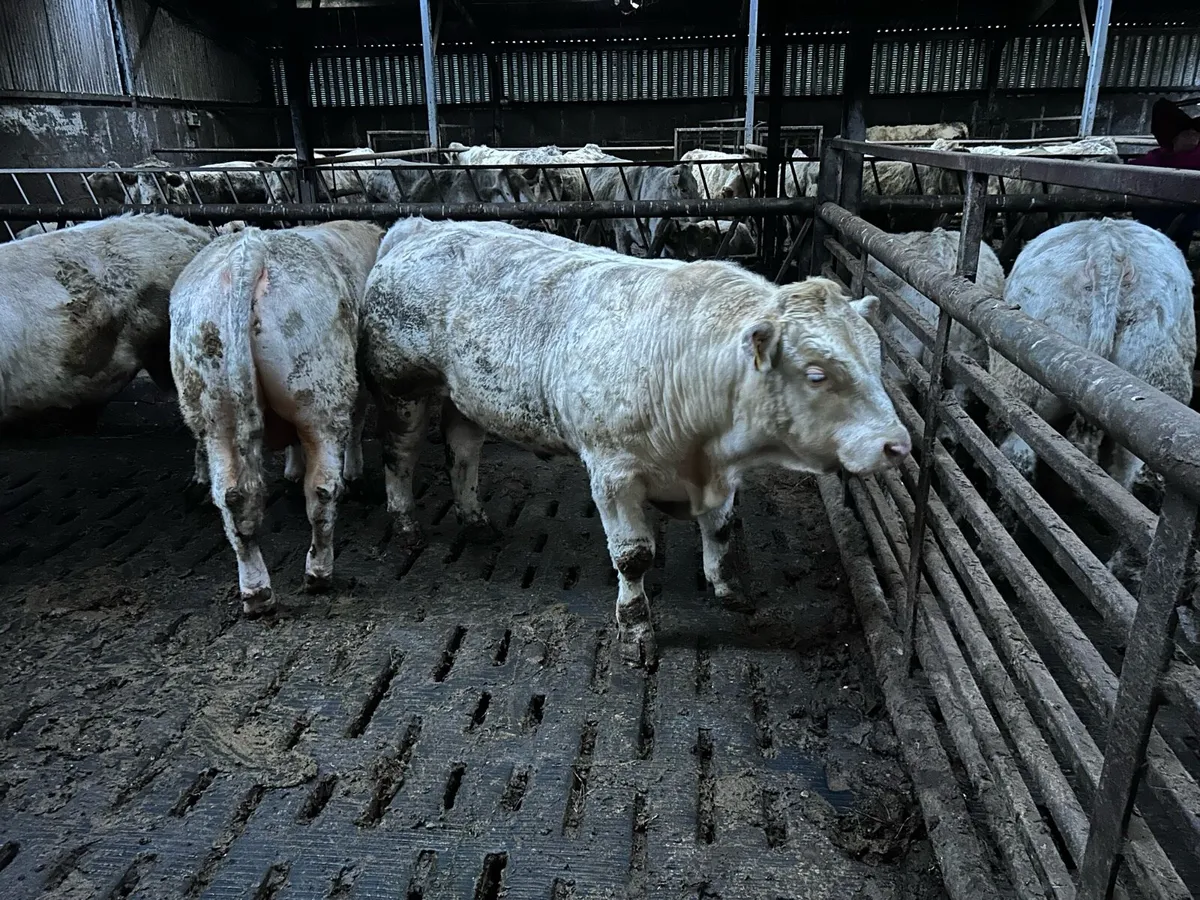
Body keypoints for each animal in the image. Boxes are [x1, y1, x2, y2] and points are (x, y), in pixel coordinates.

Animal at [170, 221, 383, 615]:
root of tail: (250, 252)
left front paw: (292, 468)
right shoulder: (361, 379)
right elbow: (358, 422)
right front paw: (353, 472)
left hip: (213, 411)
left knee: (231, 498)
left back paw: (257, 593)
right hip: (322, 391)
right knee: (322, 489)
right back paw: (318, 574)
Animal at [359, 218, 910, 665]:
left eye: (877, 356)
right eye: (816, 373)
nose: (897, 445)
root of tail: (419, 227)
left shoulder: (720, 474)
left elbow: (722, 530)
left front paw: (728, 588)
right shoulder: (613, 472)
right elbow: (633, 556)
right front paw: (636, 629)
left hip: (465, 396)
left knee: (463, 450)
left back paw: (474, 518)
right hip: (401, 387)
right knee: (400, 453)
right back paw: (405, 521)